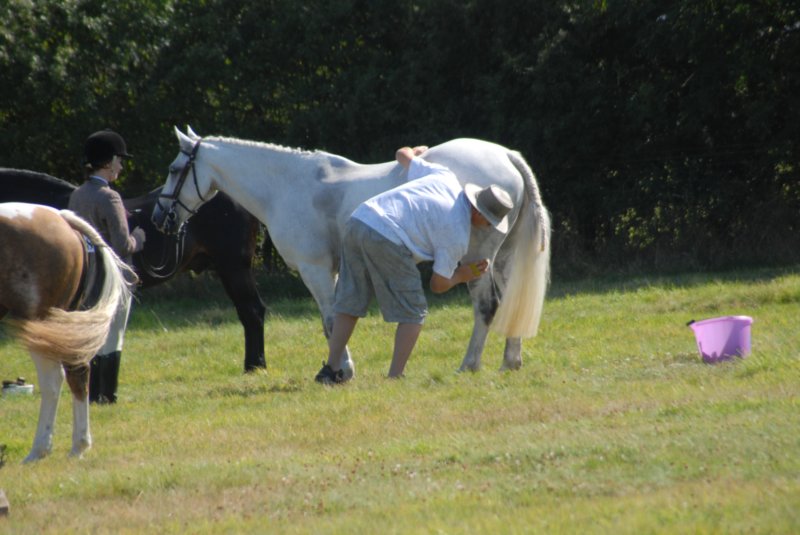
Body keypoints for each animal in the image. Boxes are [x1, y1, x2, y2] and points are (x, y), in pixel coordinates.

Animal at [0, 203, 134, 462]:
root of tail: (61, 217)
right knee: (76, 373)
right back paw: (77, 445)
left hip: (40, 326)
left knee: (53, 381)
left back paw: (41, 449)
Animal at [152, 127, 548, 374]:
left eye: (173, 169)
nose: (160, 217)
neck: (288, 186)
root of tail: (506, 156)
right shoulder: (336, 270)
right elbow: (338, 319)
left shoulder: (314, 270)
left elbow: (330, 322)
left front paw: (340, 371)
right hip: (505, 259)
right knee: (510, 303)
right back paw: (510, 362)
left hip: (477, 260)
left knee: (487, 307)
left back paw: (469, 365)